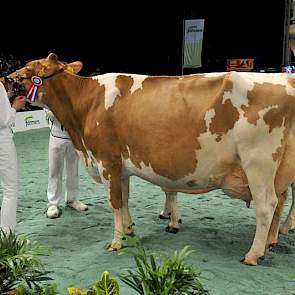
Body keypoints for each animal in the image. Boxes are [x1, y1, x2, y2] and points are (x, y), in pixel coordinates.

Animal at [9, 53, 295, 266]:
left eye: (30, 68)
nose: (8, 78)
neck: (86, 105)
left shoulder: (107, 161)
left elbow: (114, 202)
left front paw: (116, 241)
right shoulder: (121, 167)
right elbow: (124, 199)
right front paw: (129, 230)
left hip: (258, 163)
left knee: (267, 205)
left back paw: (253, 254)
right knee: (279, 201)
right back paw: (271, 242)